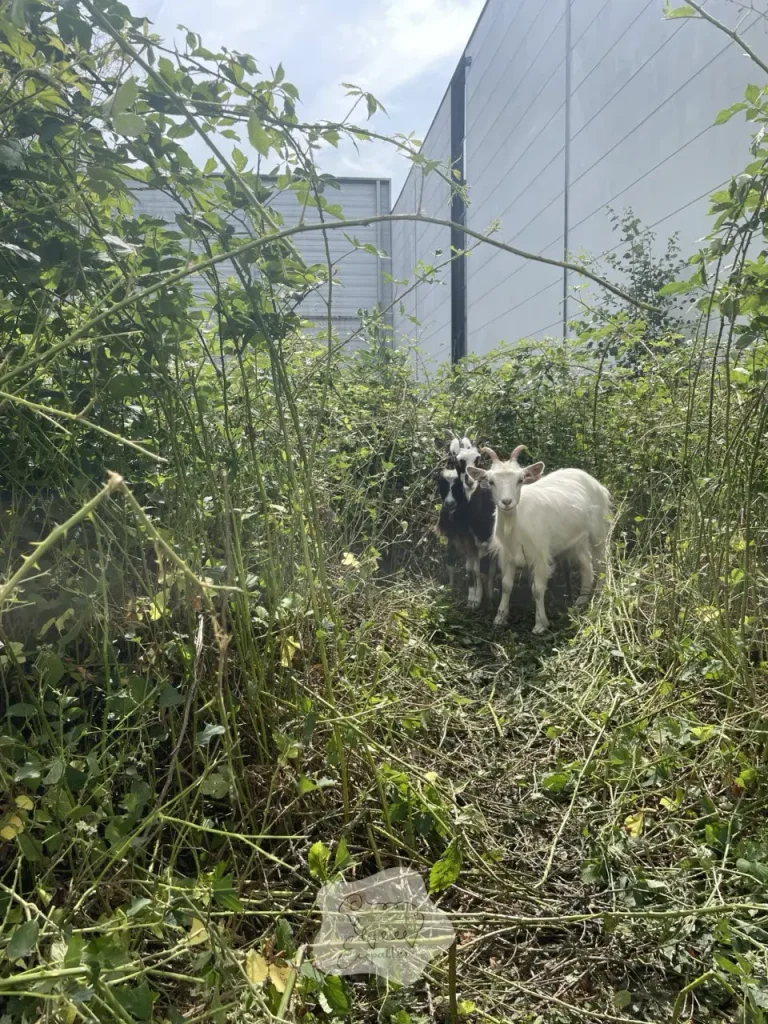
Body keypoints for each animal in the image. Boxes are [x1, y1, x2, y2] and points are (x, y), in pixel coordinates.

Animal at [466, 448, 611, 633]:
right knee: (586, 562)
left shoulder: (540, 554)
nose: (507, 502)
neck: (515, 524)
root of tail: (595, 482)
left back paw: (599, 594)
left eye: (520, 480)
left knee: (601, 562)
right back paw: (582, 599)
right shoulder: (507, 555)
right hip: (577, 538)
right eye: (491, 482)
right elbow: (506, 585)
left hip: (599, 531)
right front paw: (500, 617)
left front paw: (540, 624)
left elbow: (537, 589)